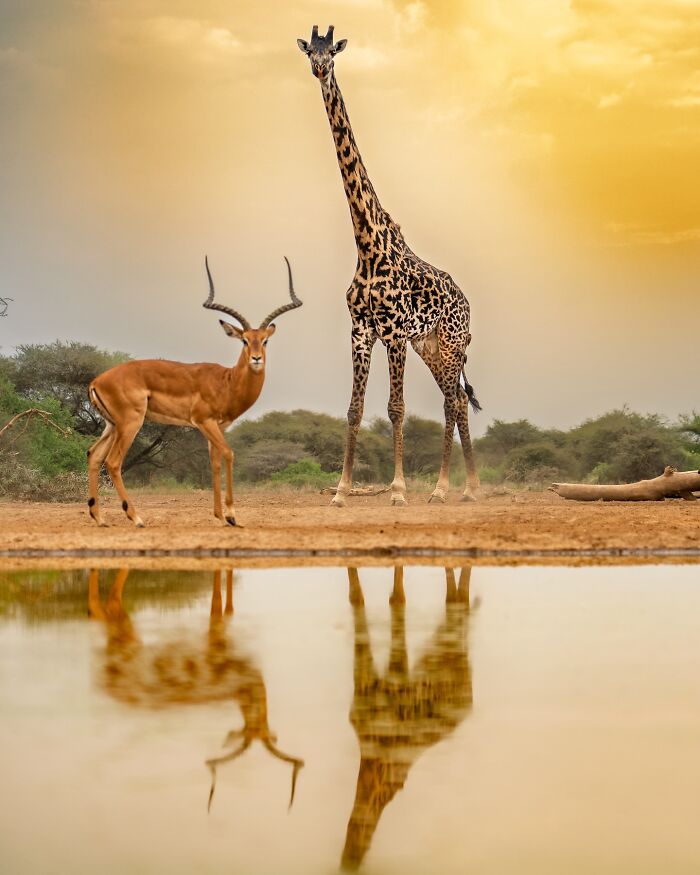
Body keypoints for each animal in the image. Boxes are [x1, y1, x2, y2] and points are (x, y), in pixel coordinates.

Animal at [87, 257, 302, 527]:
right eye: (244, 340)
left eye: (265, 340)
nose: (256, 359)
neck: (227, 382)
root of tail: (97, 381)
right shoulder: (204, 422)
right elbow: (229, 454)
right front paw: (232, 515)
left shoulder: (218, 427)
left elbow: (214, 463)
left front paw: (220, 515)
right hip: (130, 423)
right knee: (113, 462)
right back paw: (136, 517)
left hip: (111, 425)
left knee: (93, 455)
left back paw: (99, 518)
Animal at [297, 26, 481, 507]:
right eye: (310, 52)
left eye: (333, 52)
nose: (319, 69)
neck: (367, 245)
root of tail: (467, 304)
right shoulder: (361, 330)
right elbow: (354, 409)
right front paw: (341, 492)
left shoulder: (394, 333)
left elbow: (396, 409)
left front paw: (398, 491)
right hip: (429, 347)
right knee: (457, 400)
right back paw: (455, 488)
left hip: (450, 345)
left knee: (453, 402)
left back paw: (455, 489)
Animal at [341, 566, 476, 870]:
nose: (349, 857)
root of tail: (467, 703)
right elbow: (357, 598)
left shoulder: (398, 677)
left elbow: (397, 599)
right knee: (453, 599)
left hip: (452, 658)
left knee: (459, 605)